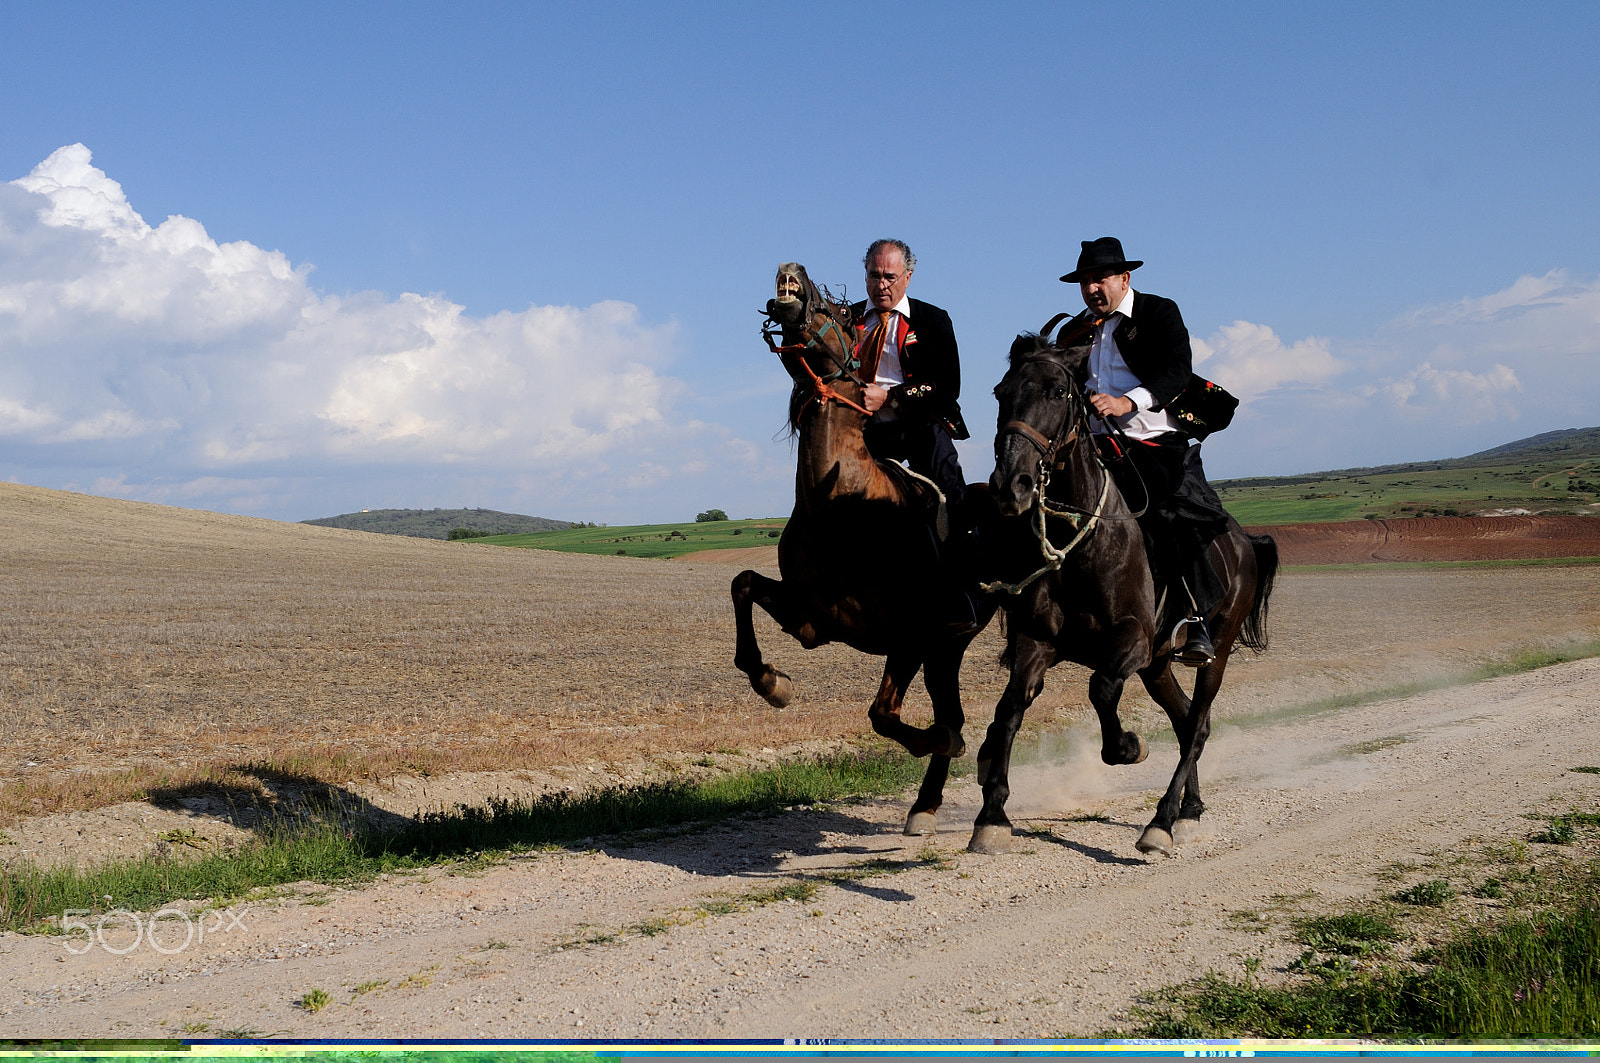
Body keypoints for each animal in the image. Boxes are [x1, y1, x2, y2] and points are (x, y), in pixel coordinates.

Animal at [732, 260, 985, 832]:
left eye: (838, 314)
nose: (791, 271)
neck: (841, 506)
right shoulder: (810, 619)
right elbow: (743, 584)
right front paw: (772, 682)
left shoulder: (912, 634)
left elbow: (889, 716)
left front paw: (943, 742)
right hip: (946, 651)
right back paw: (925, 805)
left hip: (953, 640)